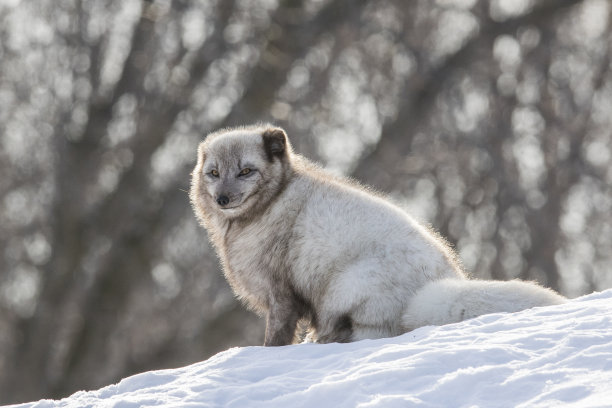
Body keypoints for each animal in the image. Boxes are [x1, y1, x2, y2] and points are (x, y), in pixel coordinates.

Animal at [190, 124, 564, 344]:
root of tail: (436, 284)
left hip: (346, 290)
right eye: (214, 173)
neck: (271, 203)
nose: (223, 199)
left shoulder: (281, 294)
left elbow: (276, 337)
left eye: (246, 171)